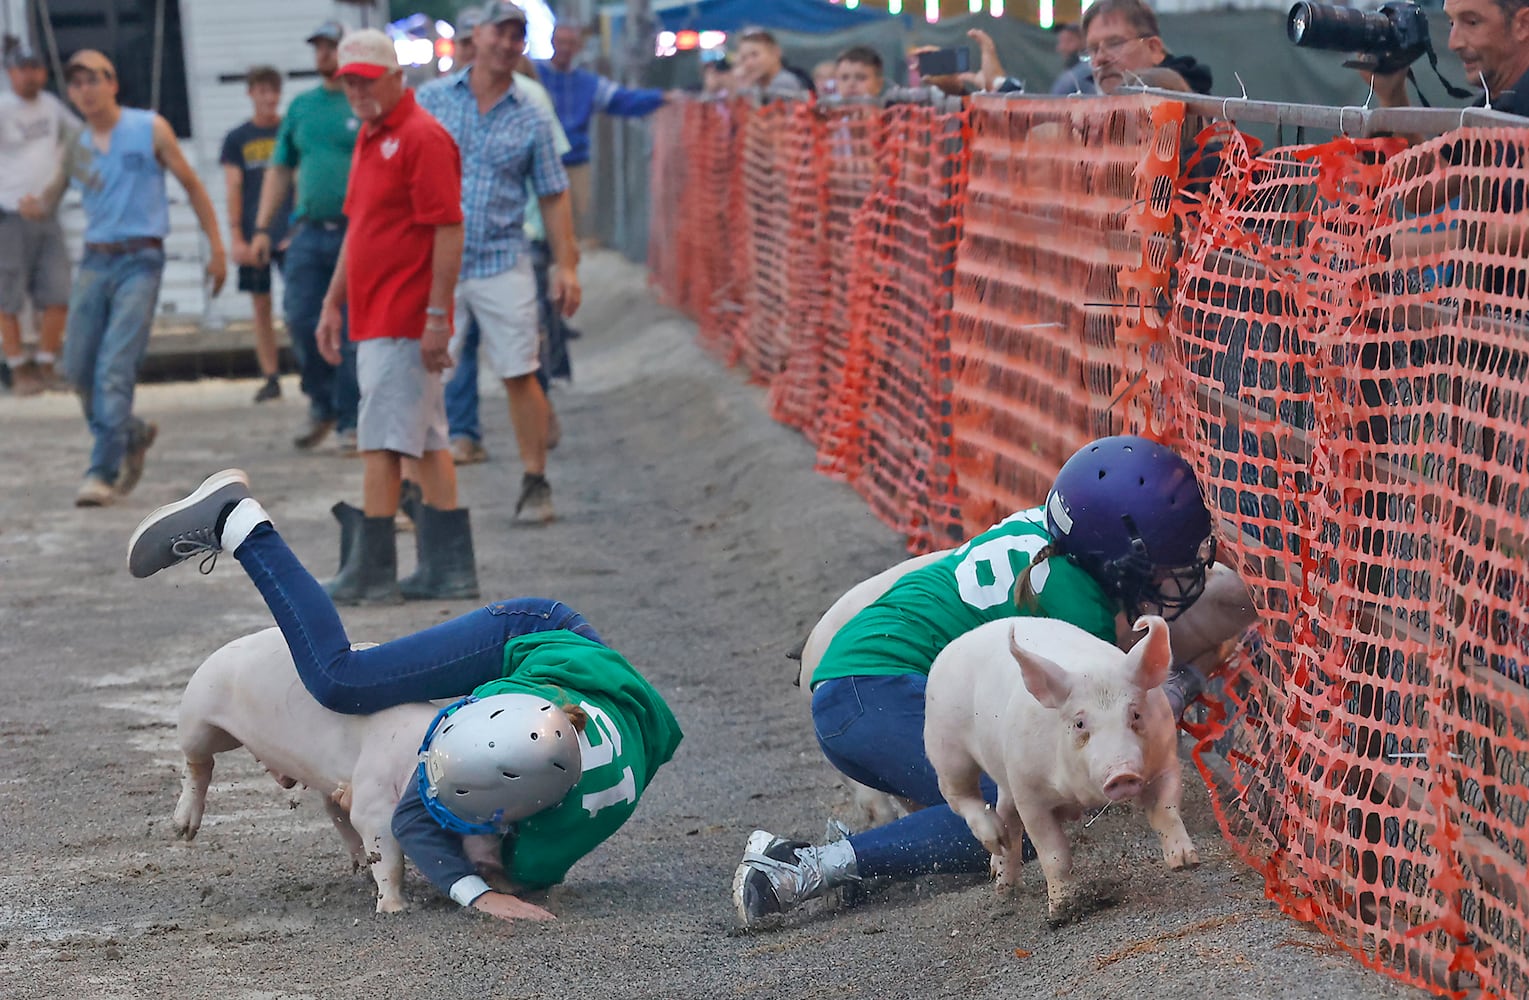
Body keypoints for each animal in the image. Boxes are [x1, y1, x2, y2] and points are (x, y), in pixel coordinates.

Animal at [171, 629, 501, 911]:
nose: (497, 865)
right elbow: (386, 851)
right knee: (198, 762)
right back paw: (182, 829)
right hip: (199, 716)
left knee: (332, 809)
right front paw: (395, 908)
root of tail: (224, 647)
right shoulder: (373, 791)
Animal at [917, 614, 1192, 929]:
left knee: (1007, 816)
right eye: (1079, 723)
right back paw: (994, 844)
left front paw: (1185, 862)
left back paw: (1004, 882)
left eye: (1135, 714)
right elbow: (1053, 854)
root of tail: (954, 645)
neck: (1082, 797)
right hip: (945, 744)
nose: (1122, 774)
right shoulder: (1030, 794)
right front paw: (1061, 911)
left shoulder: (1165, 759)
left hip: (1002, 773)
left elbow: (1166, 810)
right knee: (958, 794)